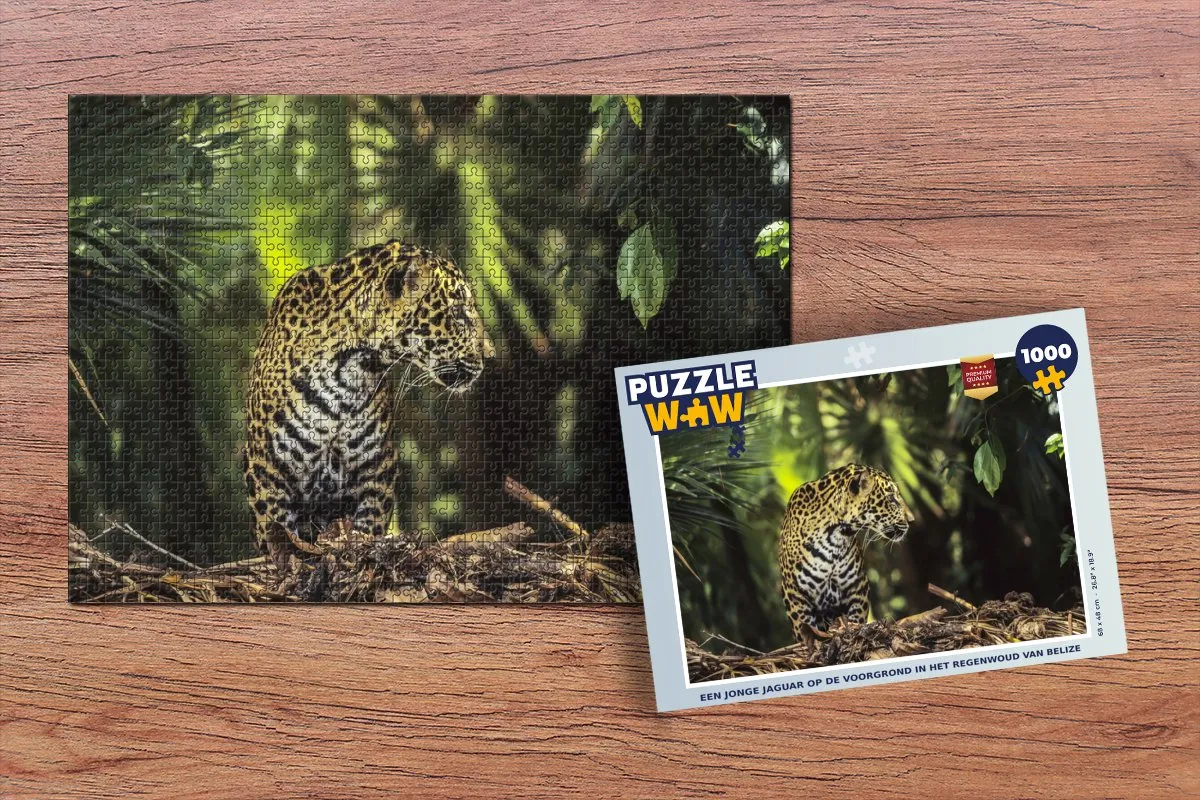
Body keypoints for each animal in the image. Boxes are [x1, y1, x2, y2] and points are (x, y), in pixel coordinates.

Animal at [243, 240, 493, 560]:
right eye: (458, 312)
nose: (491, 354)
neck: (350, 371)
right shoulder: (268, 468)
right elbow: (276, 527)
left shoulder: (377, 468)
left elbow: (369, 524)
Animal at [778, 464, 914, 643]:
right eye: (891, 498)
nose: (912, 520)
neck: (834, 536)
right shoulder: (795, 594)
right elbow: (804, 628)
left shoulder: (857, 587)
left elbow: (856, 619)